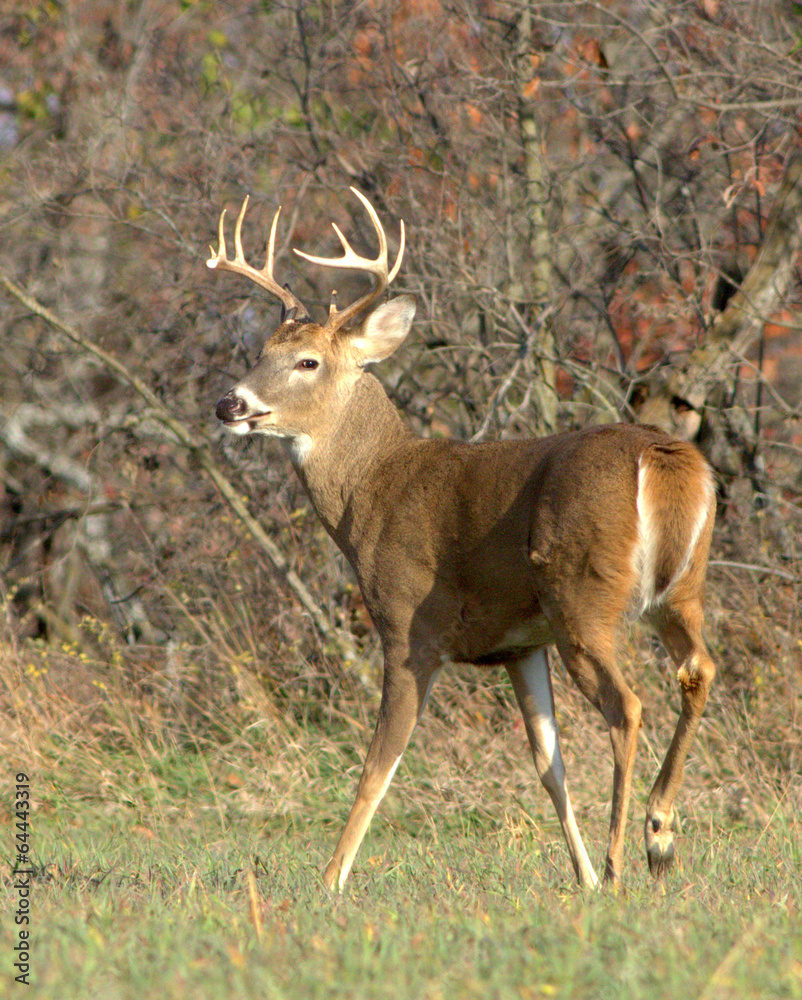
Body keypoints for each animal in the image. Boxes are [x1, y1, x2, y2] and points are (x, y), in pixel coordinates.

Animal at [208, 188, 717, 892]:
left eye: (307, 361)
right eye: (260, 351)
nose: (229, 403)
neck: (374, 489)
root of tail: (663, 459)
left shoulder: (408, 626)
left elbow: (378, 765)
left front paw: (331, 879)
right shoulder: (519, 644)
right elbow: (549, 767)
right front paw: (581, 877)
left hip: (582, 592)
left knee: (629, 706)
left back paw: (626, 860)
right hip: (679, 590)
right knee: (697, 670)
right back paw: (658, 835)